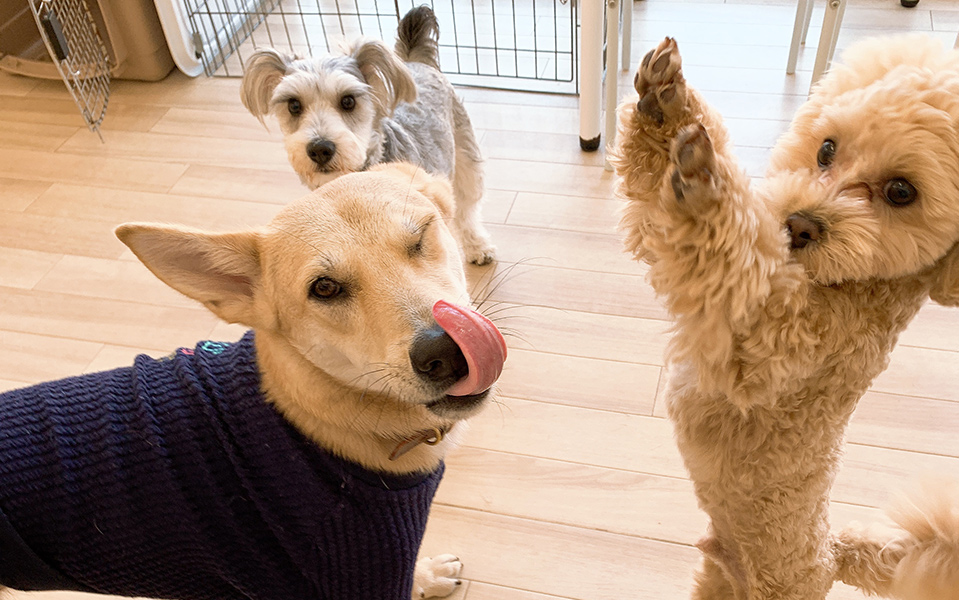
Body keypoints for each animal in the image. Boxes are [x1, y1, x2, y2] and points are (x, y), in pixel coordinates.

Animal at [242, 5, 496, 264]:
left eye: (348, 101)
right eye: (294, 105)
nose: (320, 149)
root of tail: (414, 60)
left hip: (465, 154)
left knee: (467, 205)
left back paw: (478, 246)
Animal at [616, 36, 959, 600]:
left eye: (901, 192)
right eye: (826, 150)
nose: (797, 225)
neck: (853, 282)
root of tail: (832, 556)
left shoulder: (769, 341)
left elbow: (736, 264)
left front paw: (707, 187)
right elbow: (655, 190)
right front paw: (666, 102)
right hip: (716, 581)